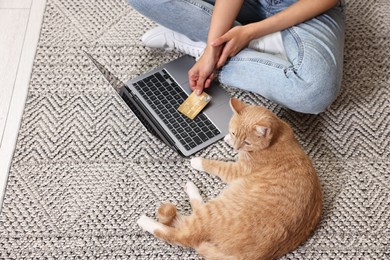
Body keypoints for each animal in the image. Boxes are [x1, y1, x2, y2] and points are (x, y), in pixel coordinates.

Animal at [138, 98, 322, 260]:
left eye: (247, 142)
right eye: (234, 132)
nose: (235, 147)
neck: (278, 138)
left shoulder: (236, 171)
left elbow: (216, 165)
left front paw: (198, 161)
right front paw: (228, 139)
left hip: (213, 211)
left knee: (182, 234)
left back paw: (147, 220)